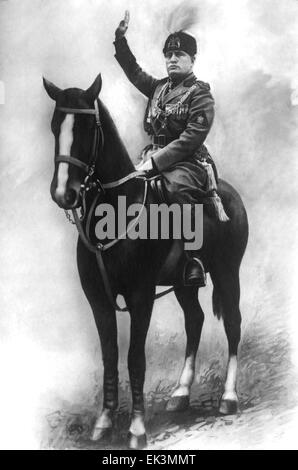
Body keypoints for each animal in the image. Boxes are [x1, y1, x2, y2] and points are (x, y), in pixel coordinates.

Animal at [43, 75, 249, 450]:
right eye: (55, 126)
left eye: (86, 129)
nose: (64, 193)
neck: (115, 209)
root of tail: (228, 191)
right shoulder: (98, 299)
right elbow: (110, 355)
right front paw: (104, 421)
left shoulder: (141, 297)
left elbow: (135, 359)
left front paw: (137, 429)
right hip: (183, 284)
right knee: (195, 320)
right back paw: (181, 393)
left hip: (229, 273)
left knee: (232, 324)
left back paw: (229, 397)